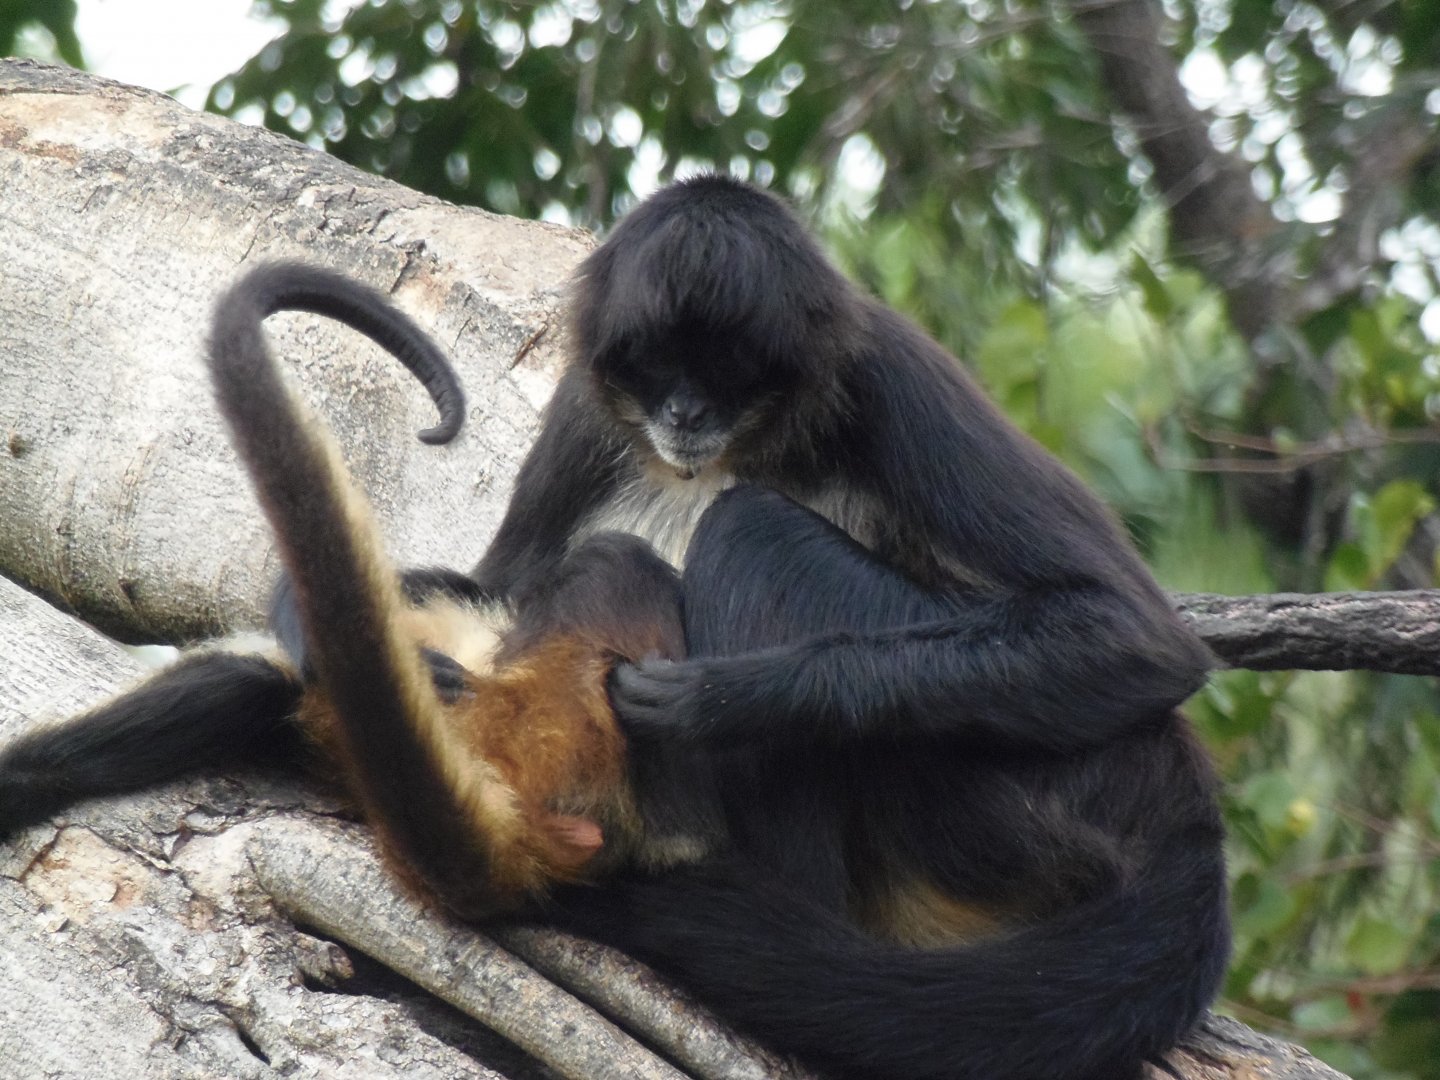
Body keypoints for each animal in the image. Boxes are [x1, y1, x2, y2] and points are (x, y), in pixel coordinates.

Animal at [436, 174, 1232, 1080]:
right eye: (659, 360)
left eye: (727, 364)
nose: (684, 411)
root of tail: (1177, 795)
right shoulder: (583, 404)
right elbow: (501, 590)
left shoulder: (889, 369)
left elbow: (1136, 638)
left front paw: (729, 700)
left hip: (1021, 808)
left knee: (751, 530)